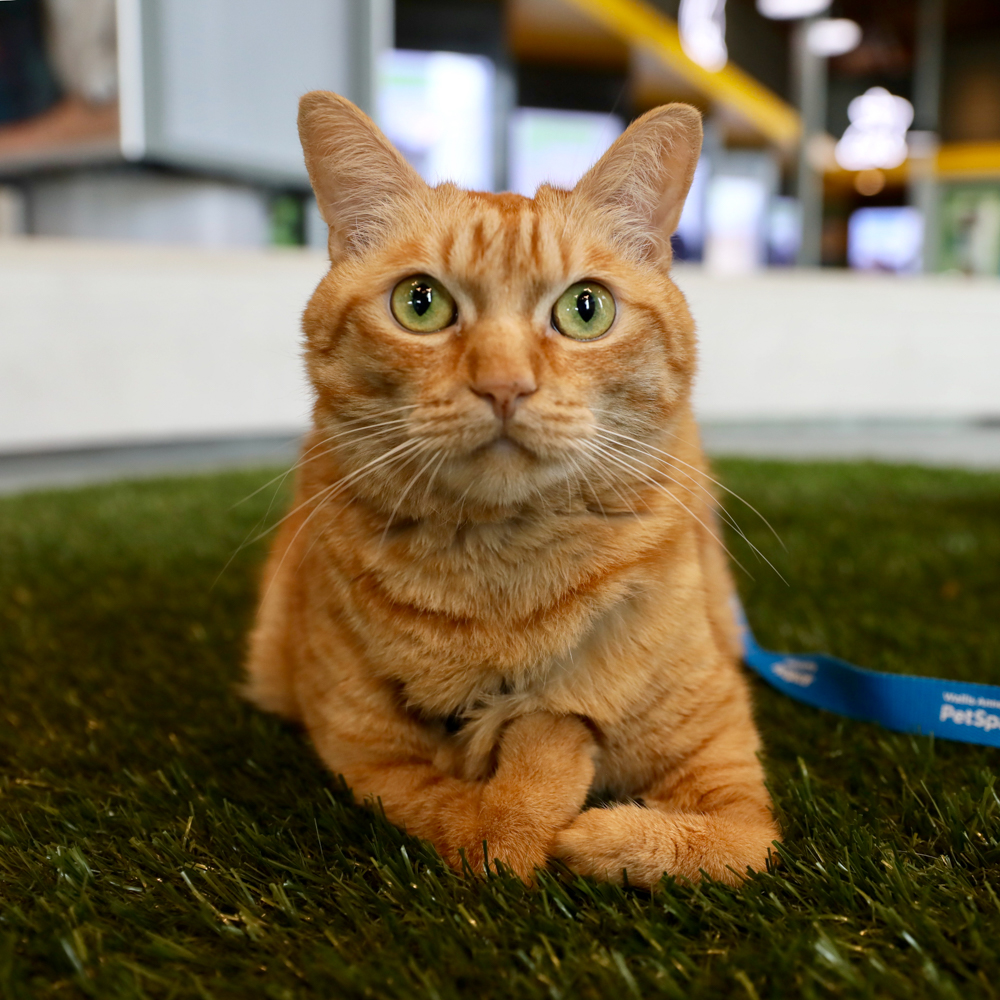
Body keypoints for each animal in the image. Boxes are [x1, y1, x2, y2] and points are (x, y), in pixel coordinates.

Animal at [246, 90, 776, 888]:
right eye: (420, 303)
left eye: (586, 308)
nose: (503, 384)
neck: (506, 581)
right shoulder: (365, 761)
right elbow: (469, 815)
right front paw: (520, 814)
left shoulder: (731, 777)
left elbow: (731, 845)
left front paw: (596, 834)